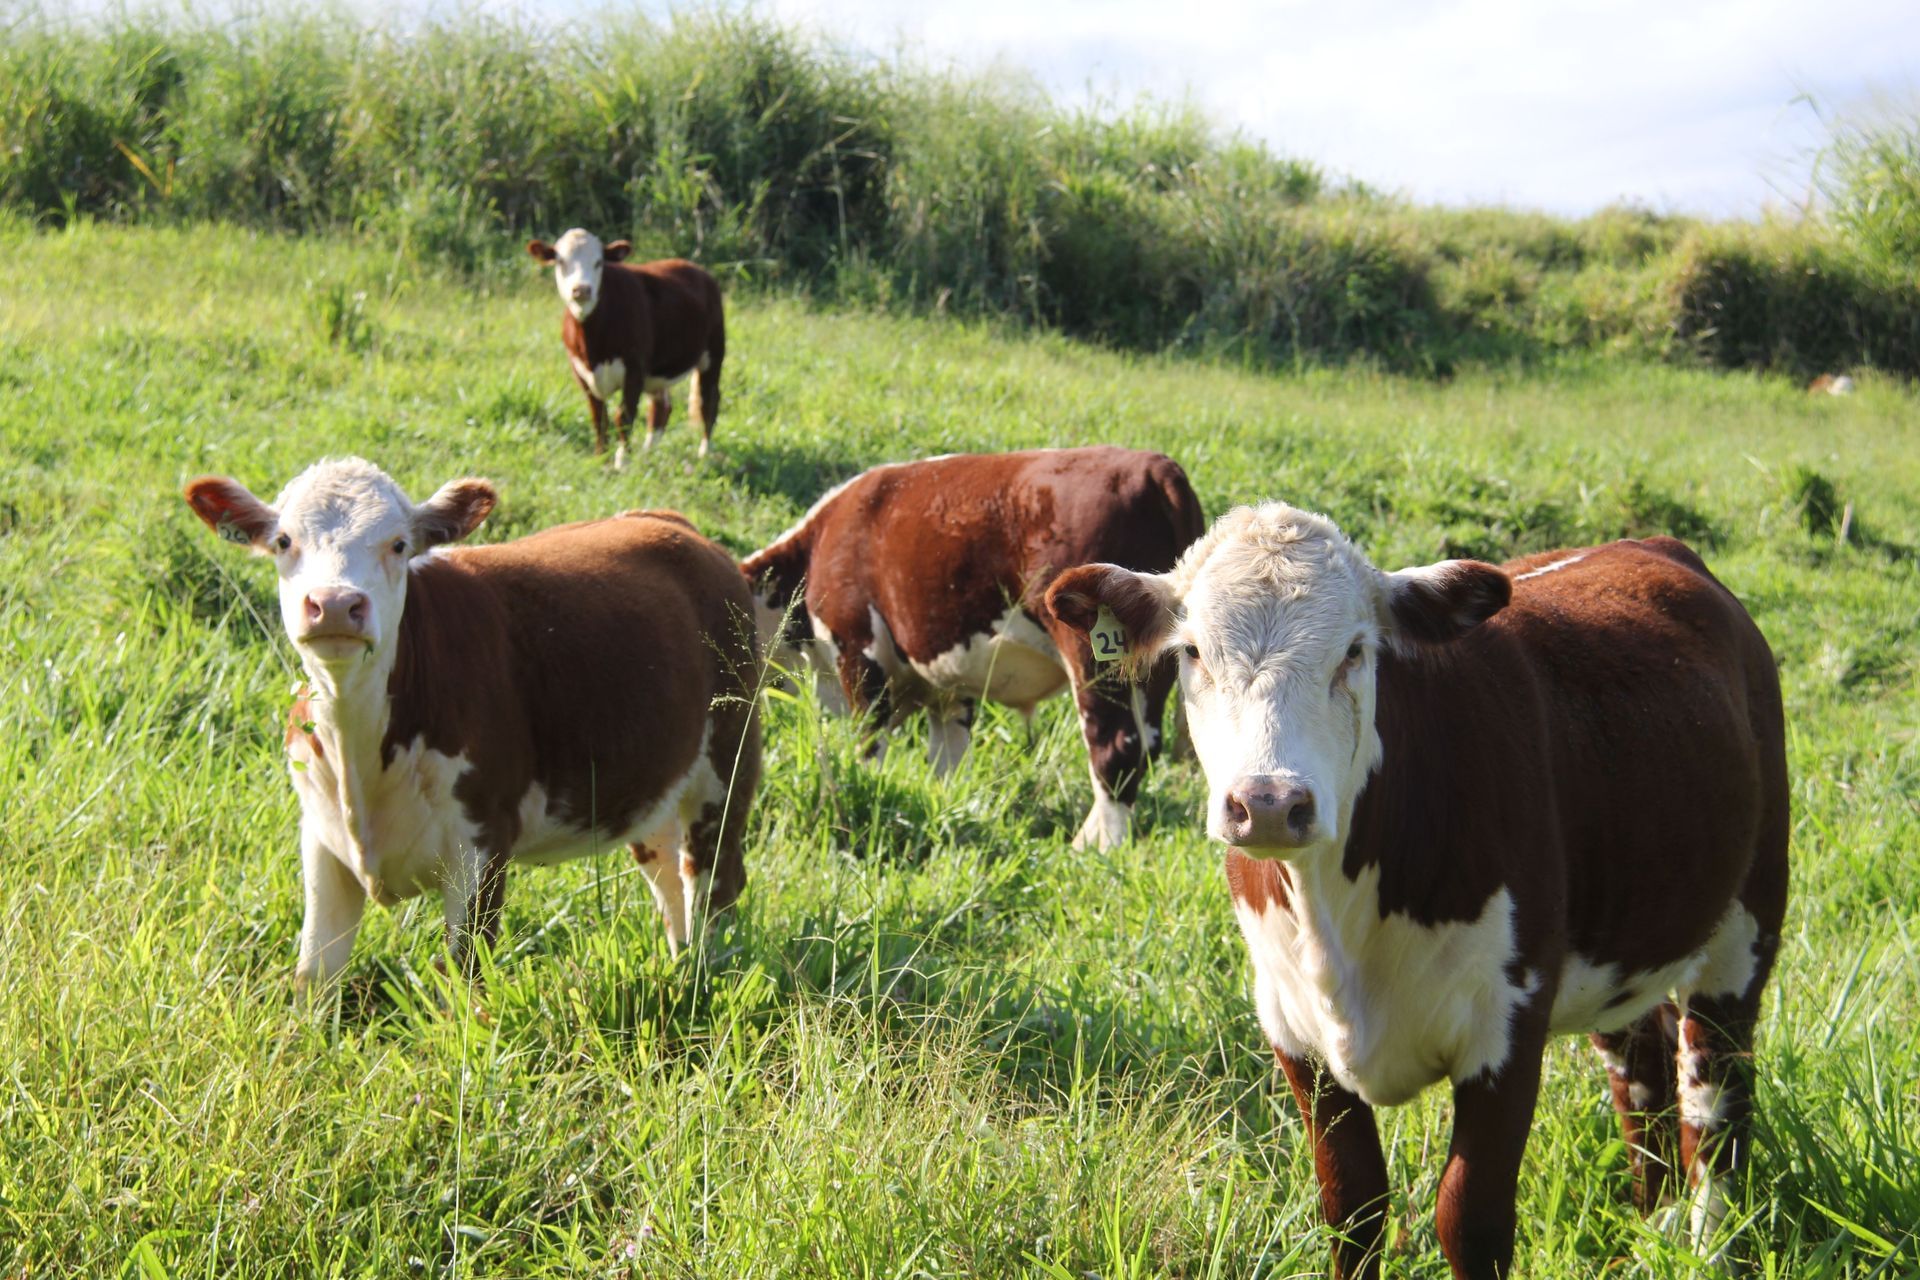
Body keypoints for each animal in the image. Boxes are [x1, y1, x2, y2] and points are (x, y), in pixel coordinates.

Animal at [184, 457, 761, 988]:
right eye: (284, 541)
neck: (360, 755)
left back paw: (706, 980)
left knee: (714, 879)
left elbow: (463, 972)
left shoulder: (483, 840)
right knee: (668, 874)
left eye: (399, 545)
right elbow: (314, 972)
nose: (334, 603)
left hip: (728, 760)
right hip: (650, 778)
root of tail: (676, 525)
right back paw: (680, 967)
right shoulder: (321, 837)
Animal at [527, 229, 726, 466]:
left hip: (713, 353)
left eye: (599, 262)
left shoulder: (635, 368)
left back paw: (704, 452)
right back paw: (648, 452)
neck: (593, 346)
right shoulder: (580, 371)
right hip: (657, 373)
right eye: (560, 261)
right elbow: (598, 417)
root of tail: (697, 269)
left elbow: (623, 415)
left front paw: (622, 461)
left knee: (709, 401)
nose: (582, 290)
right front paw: (600, 456)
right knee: (661, 407)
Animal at [741, 447, 1205, 850]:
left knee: (1117, 744)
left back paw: (1096, 846)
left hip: (1093, 656)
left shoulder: (858, 653)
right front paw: (945, 804)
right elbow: (947, 755)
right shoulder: (946, 680)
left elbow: (869, 741)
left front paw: (865, 784)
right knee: (1146, 744)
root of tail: (1151, 466)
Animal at [1046, 504, 1787, 1279]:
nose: (1271, 803)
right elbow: (1353, 1212)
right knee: (1641, 1074)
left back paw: (1707, 1239)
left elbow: (1469, 1218)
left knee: (1715, 1097)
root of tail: (1650, 546)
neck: (1335, 924)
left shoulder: (1508, 1027)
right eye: (1192, 650)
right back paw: (1656, 1222)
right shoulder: (1292, 1031)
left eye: (1354, 651)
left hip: (1745, 929)